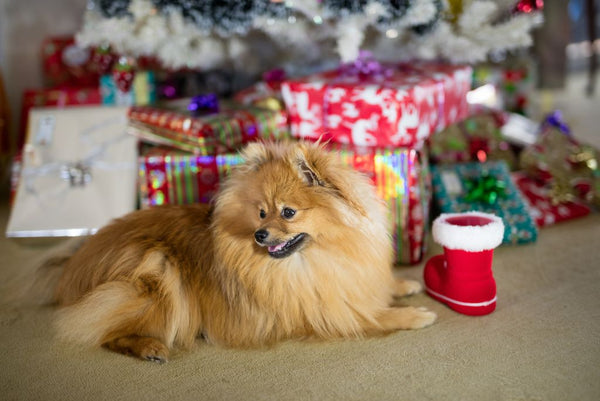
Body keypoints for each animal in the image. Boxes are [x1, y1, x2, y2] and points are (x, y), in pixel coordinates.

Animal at [47, 141, 434, 362]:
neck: (318, 257)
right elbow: (373, 316)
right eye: (261, 212)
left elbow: (377, 289)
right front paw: (415, 315)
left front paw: (404, 286)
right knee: (105, 331)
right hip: (158, 268)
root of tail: (71, 272)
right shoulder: (319, 312)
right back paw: (149, 348)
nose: (260, 235)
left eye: (288, 212)